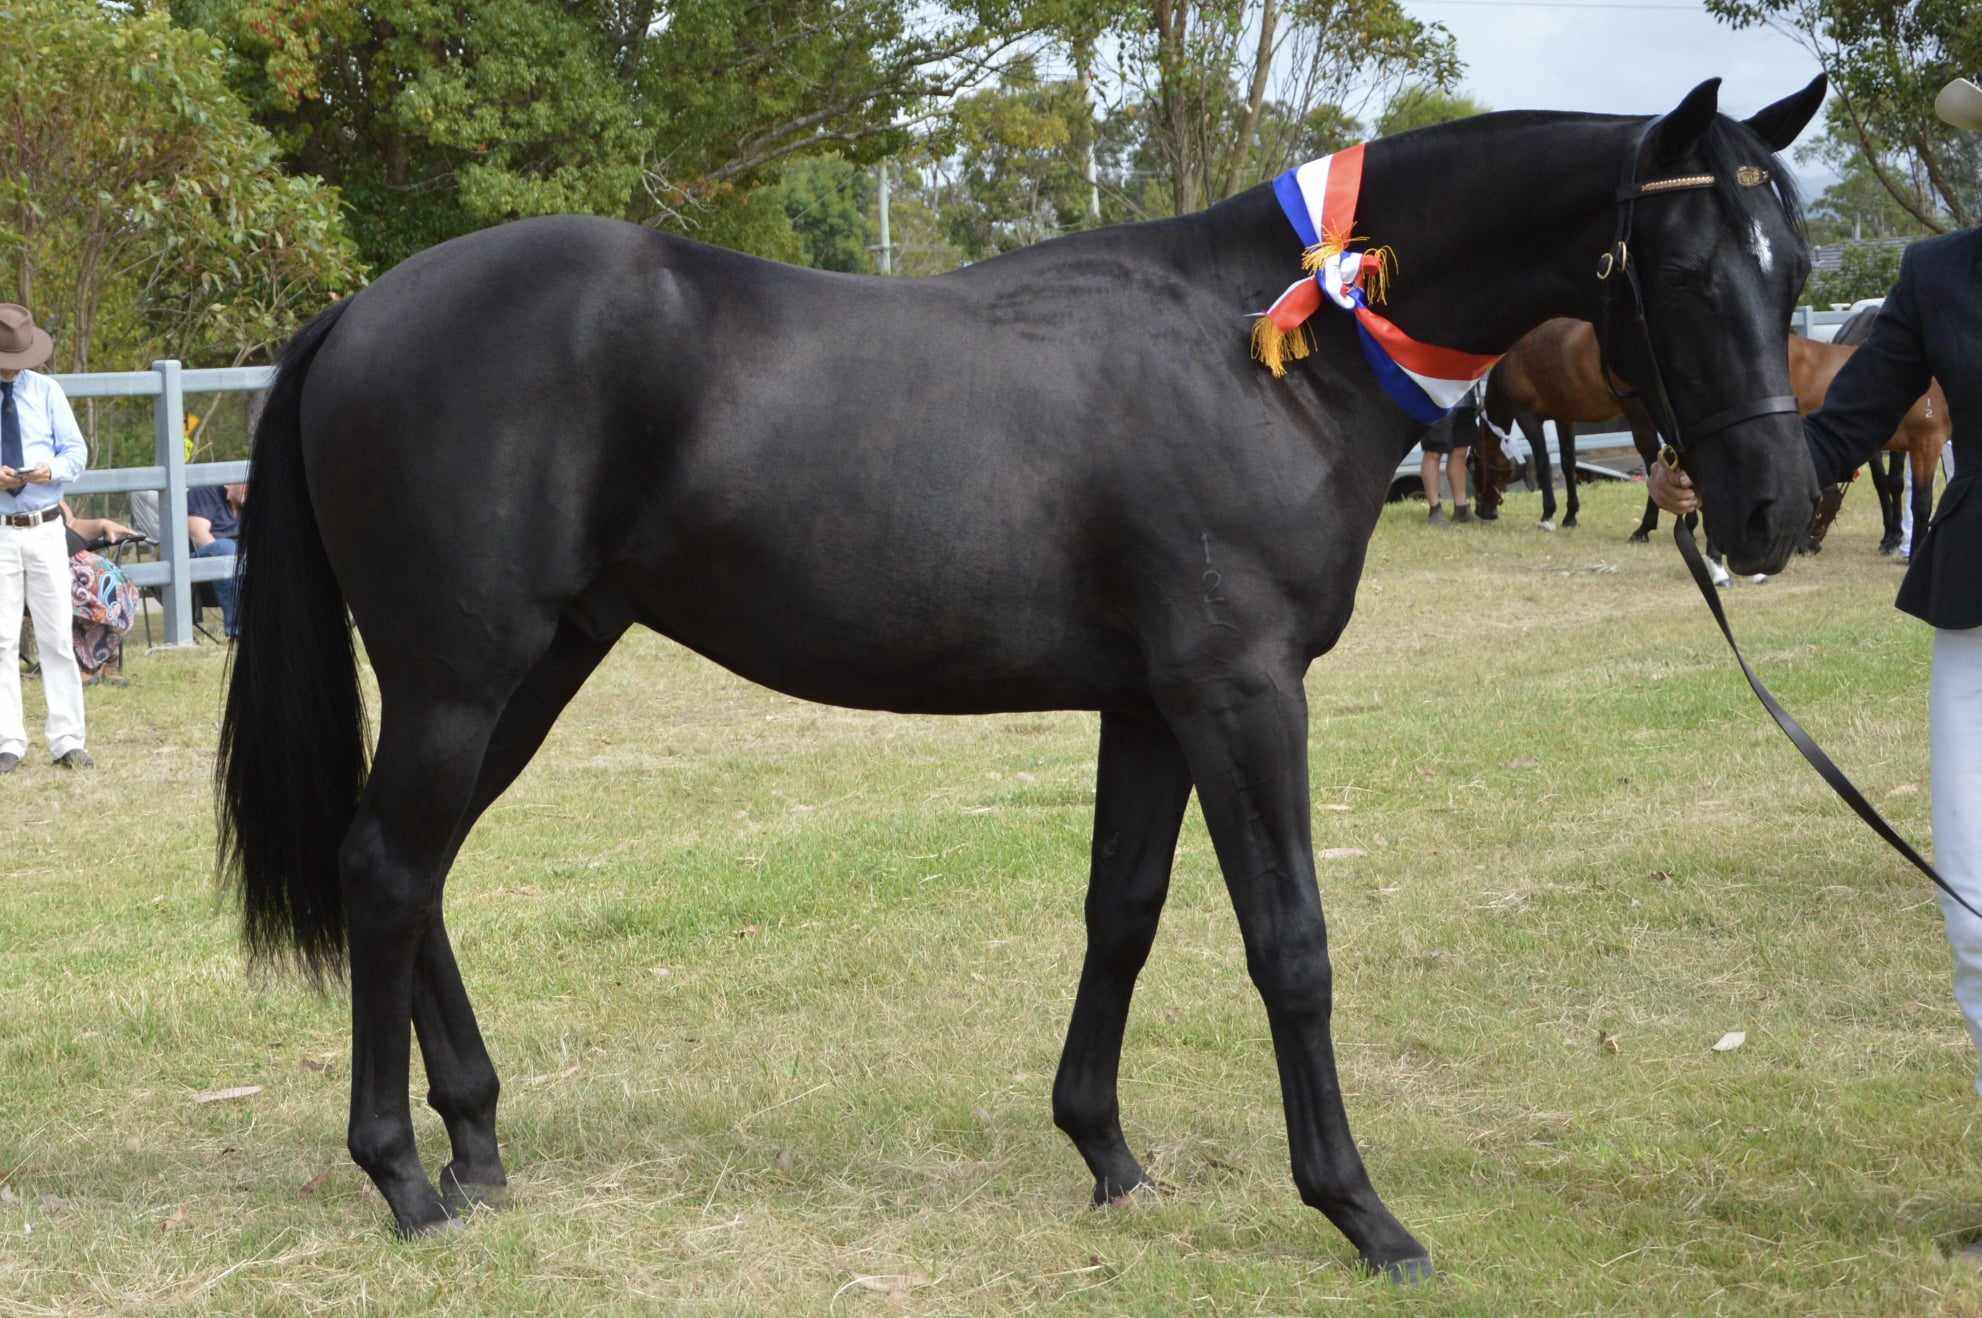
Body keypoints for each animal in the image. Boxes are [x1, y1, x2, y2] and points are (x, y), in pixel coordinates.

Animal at [215, 76, 1827, 1280]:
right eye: (1687, 269)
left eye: (1798, 268)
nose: (1772, 512)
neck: (1268, 353)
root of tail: (358, 313)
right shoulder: (1241, 692)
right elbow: (1288, 944)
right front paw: (1362, 1213)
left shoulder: (1151, 705)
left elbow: (1123, 913)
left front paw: (1106, 1152)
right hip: (461, 673)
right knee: (384, 867)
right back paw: (404, 1179)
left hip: (535, 664)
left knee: (413, 869)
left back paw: (477, 1146)